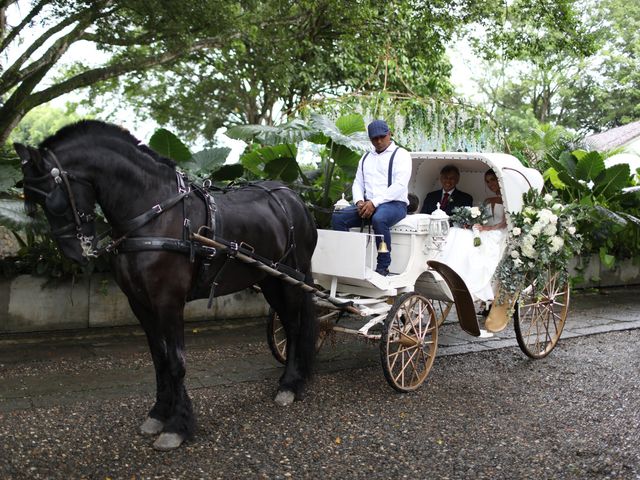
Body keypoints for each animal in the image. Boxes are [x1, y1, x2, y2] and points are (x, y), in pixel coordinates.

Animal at [16, 119, 320, 450]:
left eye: (53, 200)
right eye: (33, 204)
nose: (75, 253)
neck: (153, 214)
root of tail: (293, 196)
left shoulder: (168, 300)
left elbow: (176, 361)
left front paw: (177, 425)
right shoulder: (140, 303)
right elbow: (159, 358)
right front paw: (159, 413)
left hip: (293, 278)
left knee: (294, 326)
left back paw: (290, 385)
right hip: (270, 279)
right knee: (289, 323)